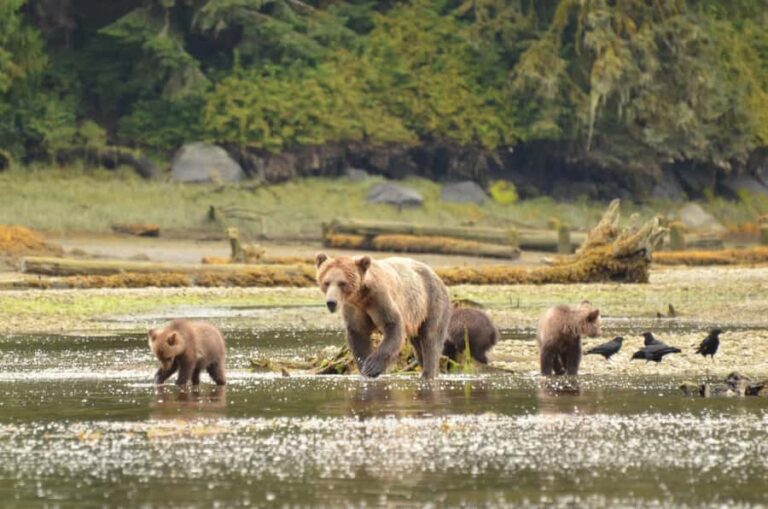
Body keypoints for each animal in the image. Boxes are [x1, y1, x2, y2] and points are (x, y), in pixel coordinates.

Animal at [315, 253, 451, 379]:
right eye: (326, 282)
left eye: (342, 283)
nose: (331, 302)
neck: (360, 297)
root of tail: (437, 275)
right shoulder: (354, 309)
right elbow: (358, 334)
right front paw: (364, 367)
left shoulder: (379, 299)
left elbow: (393, 325)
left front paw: (371, 367)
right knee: (418, 346)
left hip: (431, 303)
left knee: (430, 339)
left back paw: (428, 373)